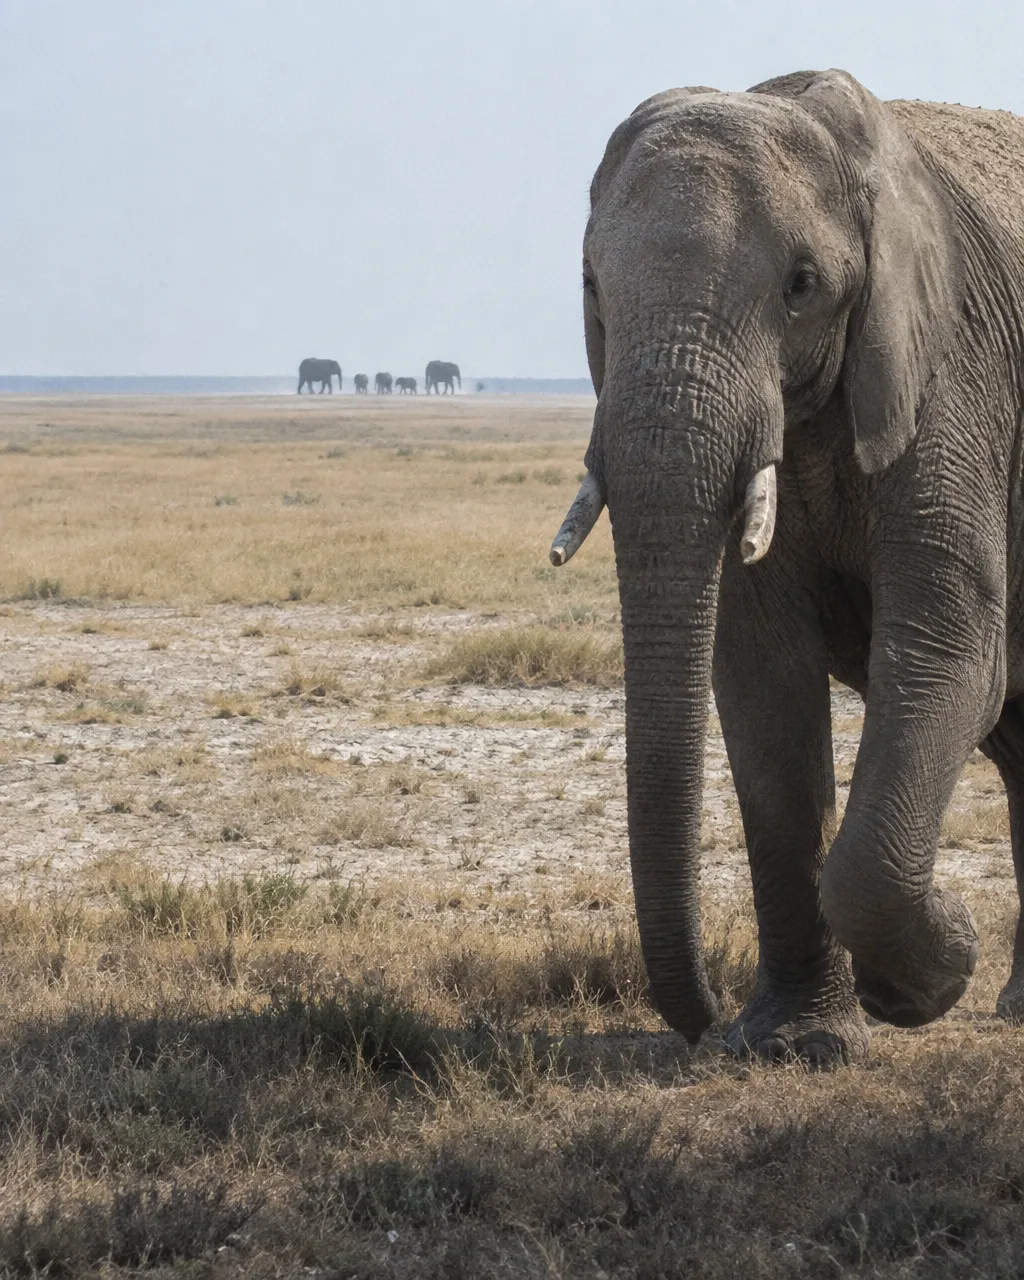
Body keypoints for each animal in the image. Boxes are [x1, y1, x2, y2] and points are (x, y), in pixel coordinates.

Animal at [549, 69, 1024, 1065]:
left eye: (802, 287)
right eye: (591, 287)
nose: (702, 1022)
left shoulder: (953, 369)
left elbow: (947, 645)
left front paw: (938, 966)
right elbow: (763, 675)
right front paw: (791, 1044)